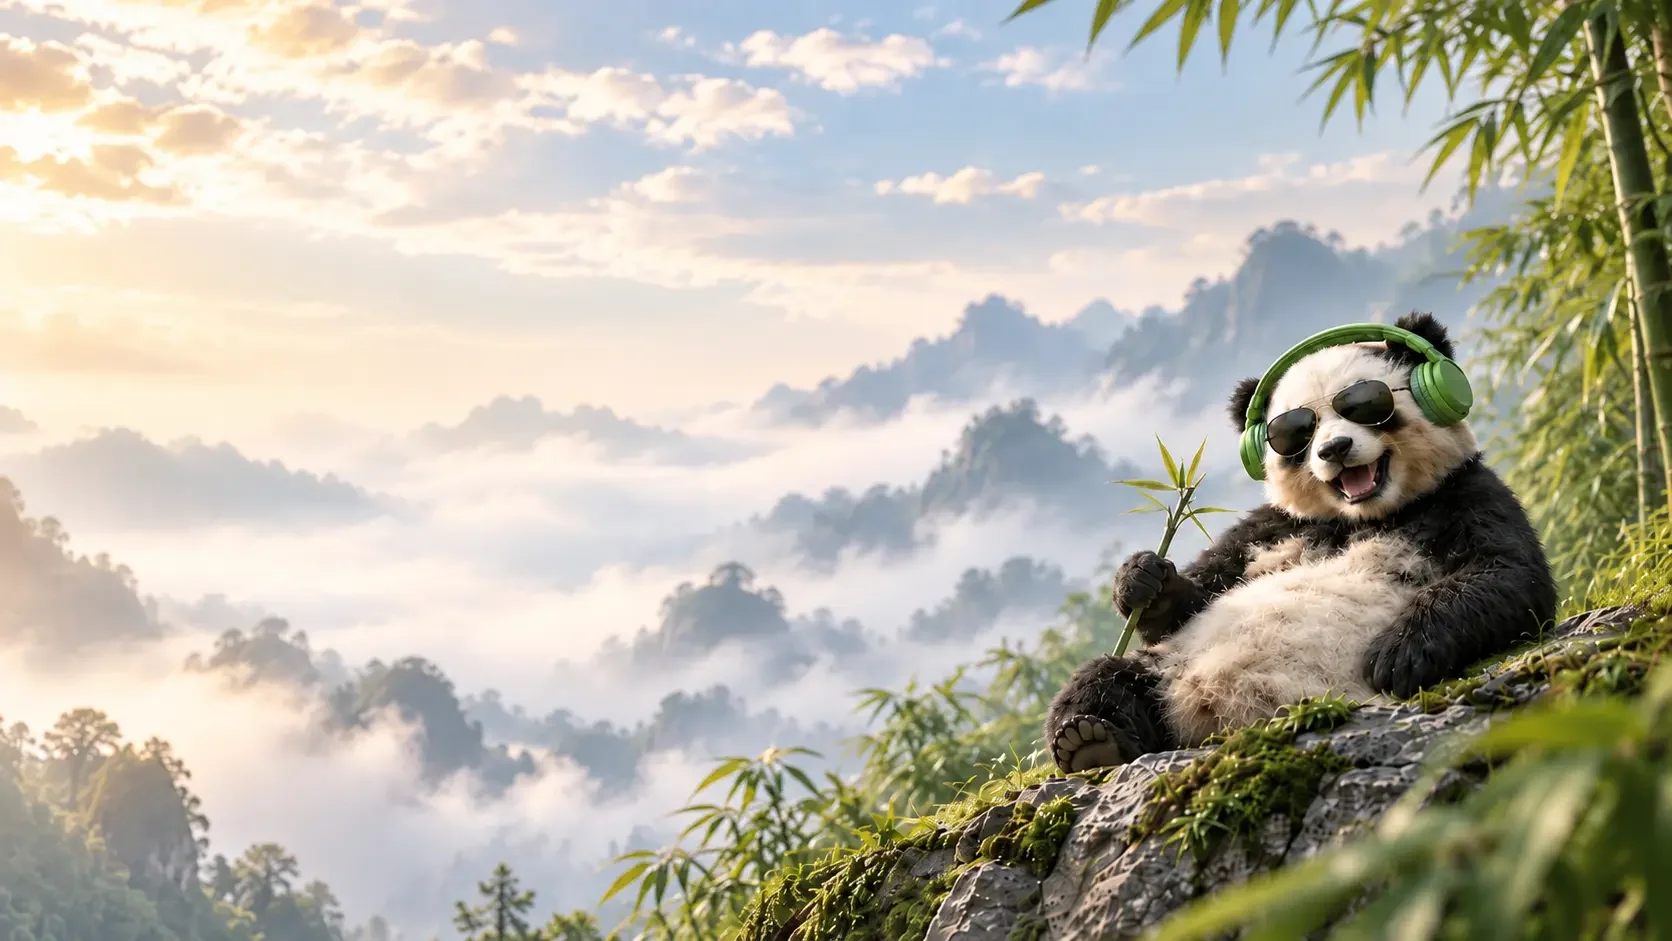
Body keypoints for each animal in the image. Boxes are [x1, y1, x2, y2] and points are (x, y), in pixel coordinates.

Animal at [1045, 312, 1557, 773]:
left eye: (1364, 404)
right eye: (1296, 431)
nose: (1334, 449)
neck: (1366, 516)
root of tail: (1213, 719)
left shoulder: (1463, 493)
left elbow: (1507, 573)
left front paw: (1397, 656)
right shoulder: (1272, 526)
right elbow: (1194, 596)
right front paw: (1144, 579)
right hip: (1171, 663)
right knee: (1102, 678)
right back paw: (1088, 740)